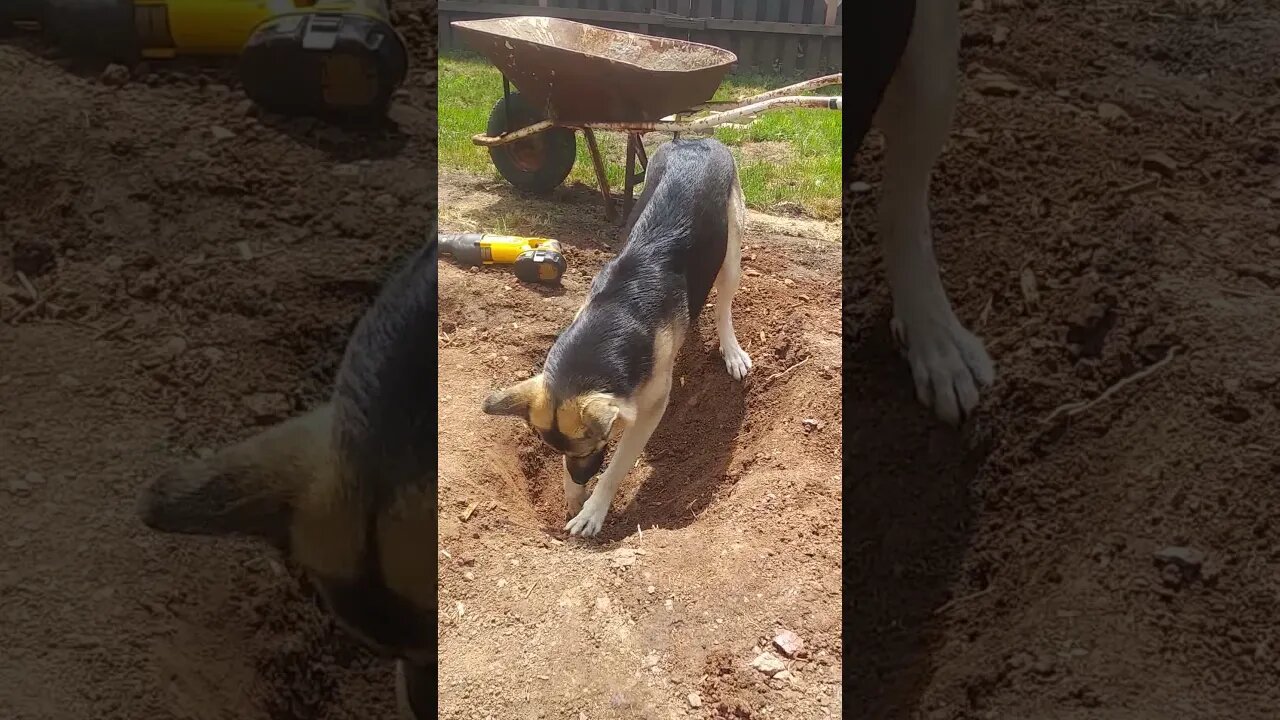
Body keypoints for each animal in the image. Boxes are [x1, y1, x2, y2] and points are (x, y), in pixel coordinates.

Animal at [483, 137, 752, 535]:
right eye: (559, 453)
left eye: (595, 446)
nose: (581, 479)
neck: (617, 313)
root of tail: (696, 139)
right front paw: (573, 496)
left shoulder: (648, 411)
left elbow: (616, 468)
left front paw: (593, 510)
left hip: (731, 253)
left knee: (723, 305)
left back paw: (731, 350)